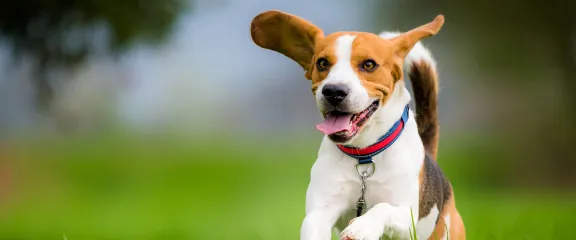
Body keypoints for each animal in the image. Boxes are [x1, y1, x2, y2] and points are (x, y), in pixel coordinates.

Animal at [250, 10, 466, 239]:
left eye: (368, 64)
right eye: (322, 63)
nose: (334, 91)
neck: (364, 156)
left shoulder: (407, 217)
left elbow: (383, 208)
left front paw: (362, 227)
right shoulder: (320, 210)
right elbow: (315, 222)